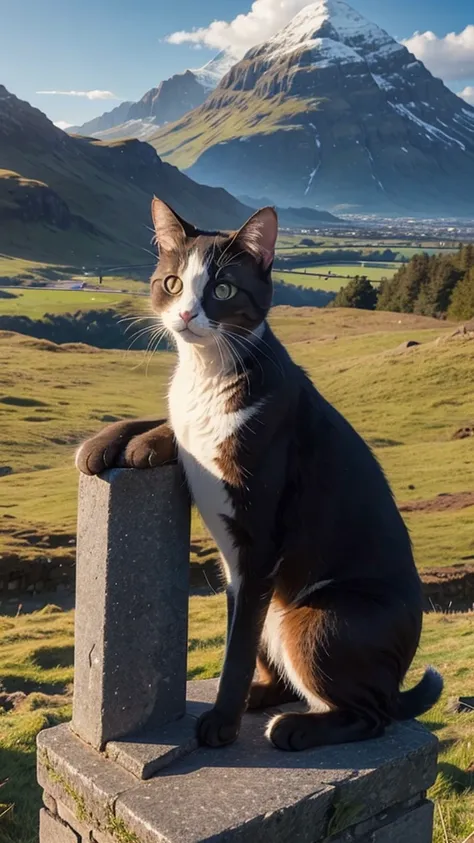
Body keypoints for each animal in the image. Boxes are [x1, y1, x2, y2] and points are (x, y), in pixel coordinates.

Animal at [76, 199, 442, 752]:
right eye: (172, 283)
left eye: (223, 289)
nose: (187, 314)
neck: (207, 373)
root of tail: (397, 680)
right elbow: (170, 422)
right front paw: (113, 443)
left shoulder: (261, 544)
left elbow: (236, 649)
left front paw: (221, 724)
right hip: (274, 605)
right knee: (280, 669)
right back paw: (263, 696)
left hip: (315, 618)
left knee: (371, 713)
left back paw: (294, 727)